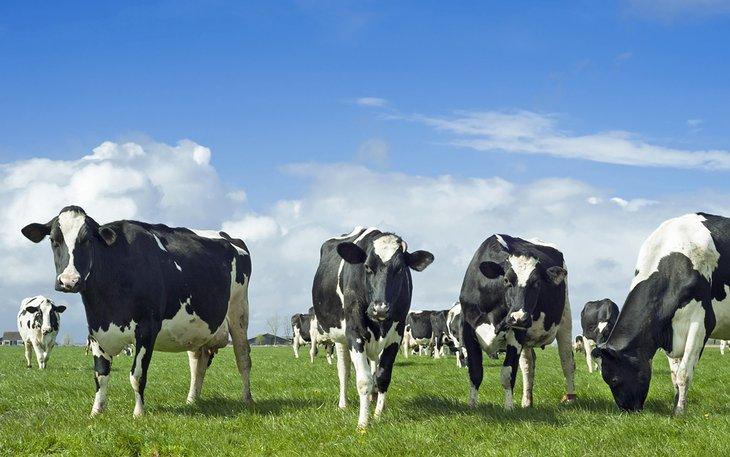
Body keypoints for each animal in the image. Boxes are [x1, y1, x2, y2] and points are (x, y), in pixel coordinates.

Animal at [21, 205, 253, 417]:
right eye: (54, 240)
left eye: (87, 240)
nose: (69, 281)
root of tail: (228, 236)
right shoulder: (95, 330)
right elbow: (100, 374)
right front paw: (96, 411)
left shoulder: (147, 329)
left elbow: (137, 375)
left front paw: (139, 413)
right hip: (197, 328)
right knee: (198, 363)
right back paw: (191, 400)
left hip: (239, 310)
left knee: (243, 358)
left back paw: (247, 399)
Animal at [311, 226, 434, 428]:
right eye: (367, 267)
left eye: (400, 268)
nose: (380, 308)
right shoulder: (355, 333)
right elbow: (363, 380)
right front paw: (363, 423)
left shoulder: (396, 337)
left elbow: (383, 376)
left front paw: (377, 415)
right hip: (339, 338)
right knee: (344, 370)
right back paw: (344, 404)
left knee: (373, 366)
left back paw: (373, 399)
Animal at [459, 234, 575, 410]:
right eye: (507, 280)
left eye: (537, 283)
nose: (519, 317)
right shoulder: (468, 330)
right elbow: (475, 372)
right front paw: (471, 405)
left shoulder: (516, 334)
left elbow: (507, 373)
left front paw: (508, 408)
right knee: (528, 365)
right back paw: (527, 402)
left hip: (565, 321)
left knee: (567, 361)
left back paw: (570, 398)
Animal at [593, 213, 730, 414]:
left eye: (614, 380)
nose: (627, 410)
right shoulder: (667, 329)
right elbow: (674, 375)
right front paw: (676, 405)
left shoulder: (701, 322)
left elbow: (683, 373)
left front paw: (679, 412)